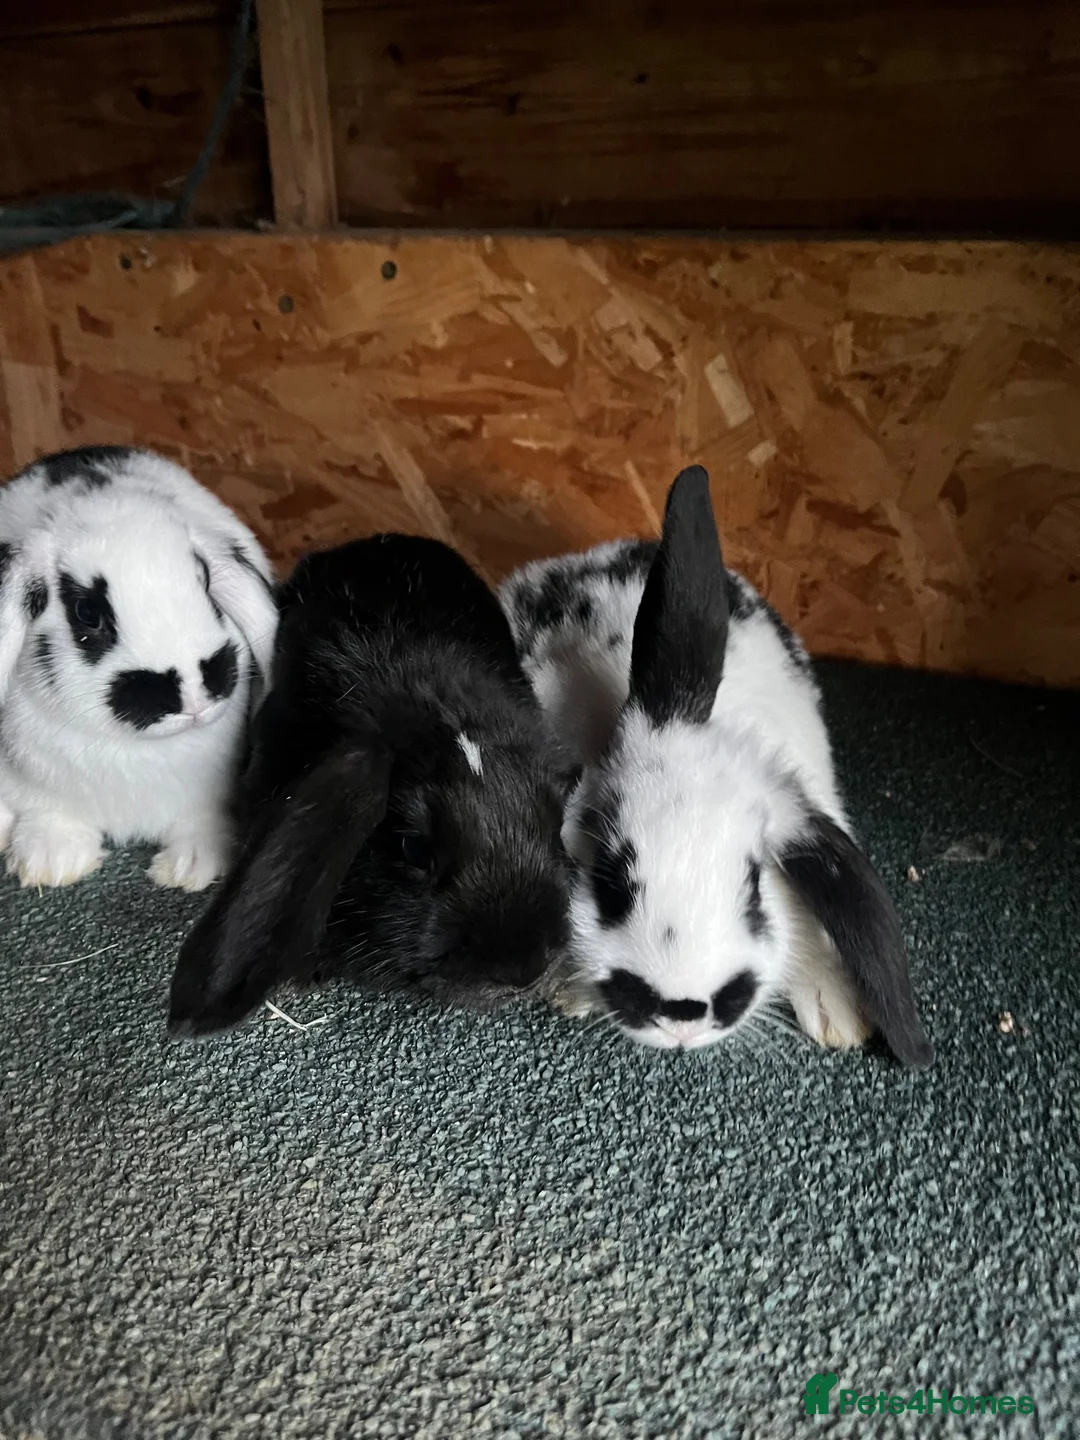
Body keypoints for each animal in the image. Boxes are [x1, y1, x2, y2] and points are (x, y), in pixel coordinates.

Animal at [0, 446, 278, 891]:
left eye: (206, 583)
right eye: (87, 612)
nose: (193, 695)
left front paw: (190, 868)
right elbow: (49, 815)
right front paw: (51, 862)